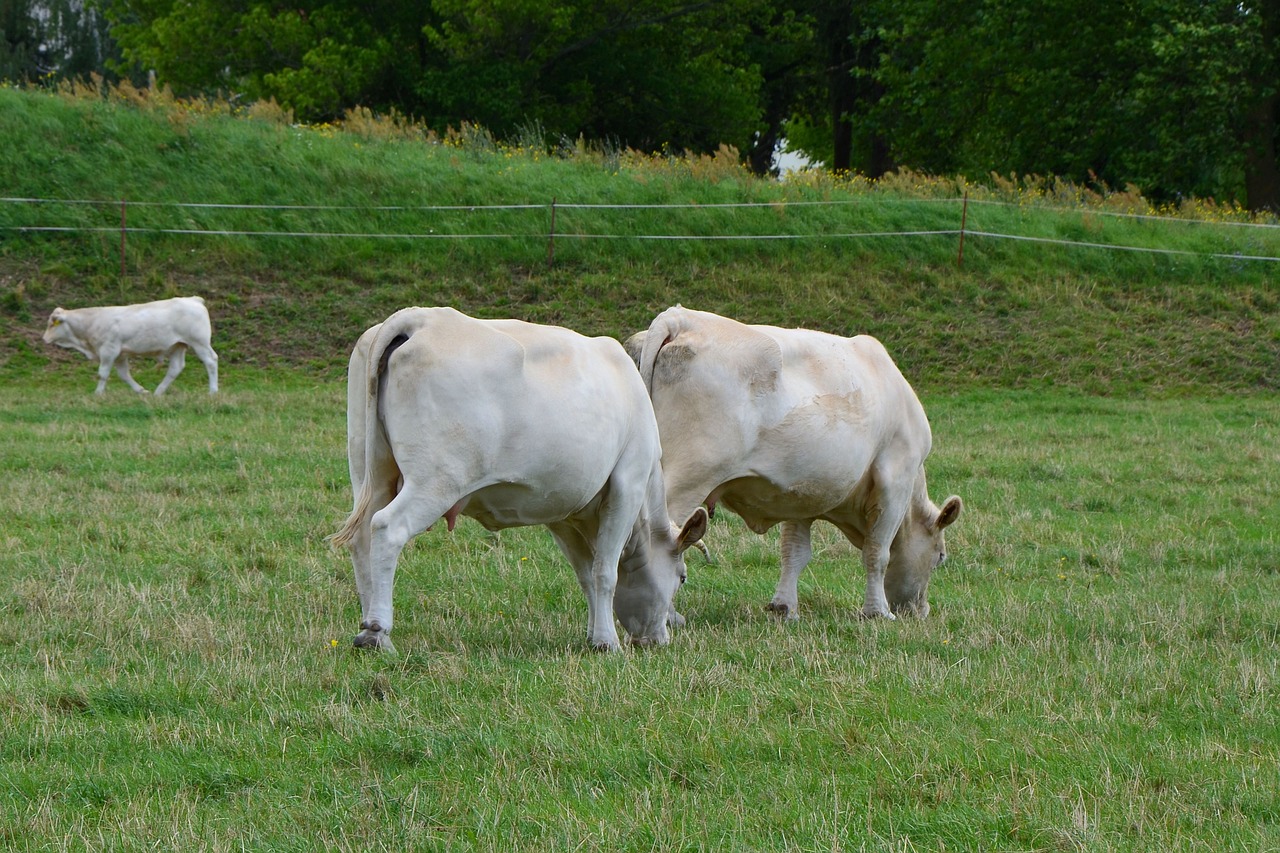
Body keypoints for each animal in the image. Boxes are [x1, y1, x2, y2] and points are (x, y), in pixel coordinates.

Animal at [43, 294, 220, 394]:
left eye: (52, 323)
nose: (44, 338)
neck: (92, 322)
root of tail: (193, 300)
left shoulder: (109, 351)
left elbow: (103, 373)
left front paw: (98, 394)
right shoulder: (120, 355)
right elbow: (124, 375)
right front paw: (140, 390)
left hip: (199, 342)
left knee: (211, 361)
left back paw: (213, 391)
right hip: (177, 345)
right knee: (175, 368)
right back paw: (158, 392)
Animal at [330, 306, 711, 650]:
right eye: (682, 577)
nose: (659, 639)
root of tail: (418, 318)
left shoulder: (564, 513)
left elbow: (586, 574)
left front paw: (593, 636)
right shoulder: (627, 484)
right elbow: (605, 572)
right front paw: (607, 641)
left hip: (372, 473)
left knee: (361, 538)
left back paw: (369, 629)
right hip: (436, 480)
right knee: (387, 528)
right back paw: (377, 631)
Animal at [629, 303, 962, 617]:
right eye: (940, 557)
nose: (920, 610)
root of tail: (679, 317)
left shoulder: (803, 493)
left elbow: (795, 553)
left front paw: (783, 607)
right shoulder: (895, 478)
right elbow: (877, 552)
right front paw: (877, 611)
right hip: (688, 475)